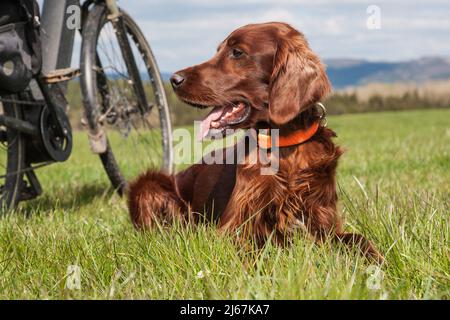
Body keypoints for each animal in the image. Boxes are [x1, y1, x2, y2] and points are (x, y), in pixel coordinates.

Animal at [126, 21, 384, 262]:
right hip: (149, 184)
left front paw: (379, 262)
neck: (284, 149)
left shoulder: (323, 222)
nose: (174, 79)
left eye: (237, 52)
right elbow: (257, 249)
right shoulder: (234, 229)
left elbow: (357, 239)